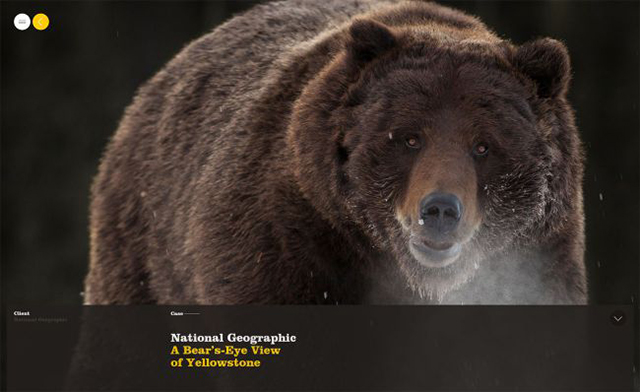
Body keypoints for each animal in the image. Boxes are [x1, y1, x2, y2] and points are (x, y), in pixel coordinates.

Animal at [84, 0, 584, 304]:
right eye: (409, 138)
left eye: (483, 145)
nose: (440, 209)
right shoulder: (289, 242)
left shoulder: (538, 255)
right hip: (144, 251)